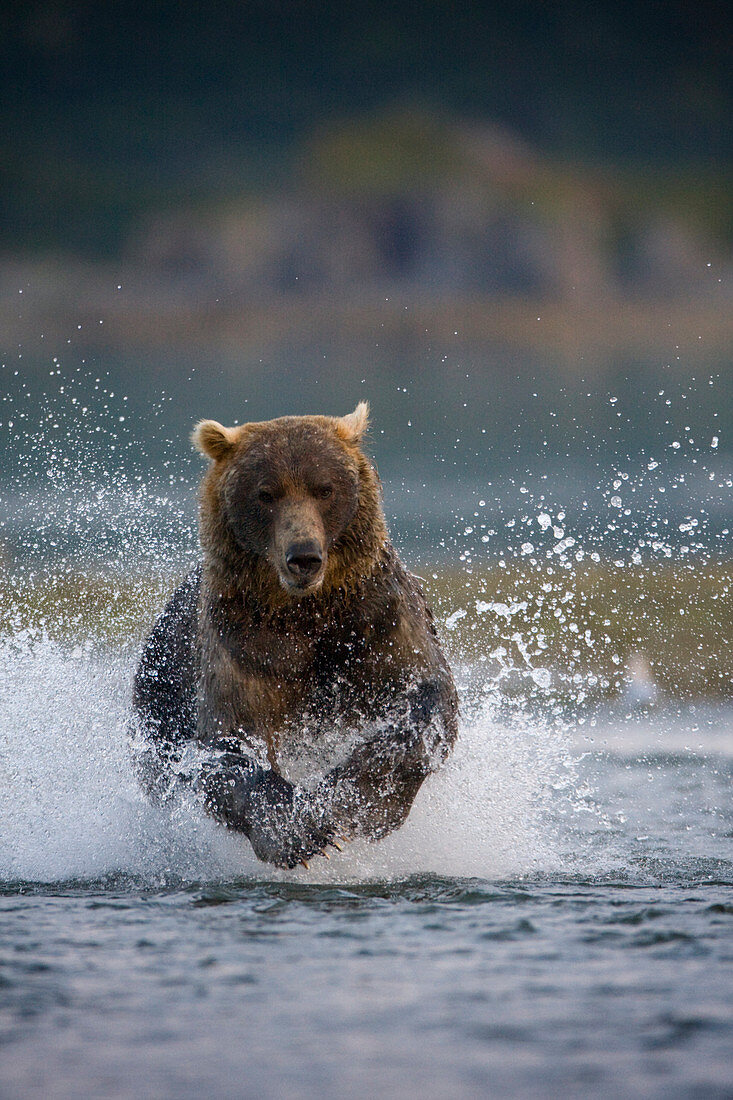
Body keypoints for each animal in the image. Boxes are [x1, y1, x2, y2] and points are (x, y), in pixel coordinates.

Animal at [128, 404, 453, 866]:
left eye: (325, 488)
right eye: (266, 493)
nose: (303, 557)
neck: (305, 611)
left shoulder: (375, 619)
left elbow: (424, 700)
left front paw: (354, 801)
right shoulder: (243, 642)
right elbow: (228, 744)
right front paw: (296, 830)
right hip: (160, 696)